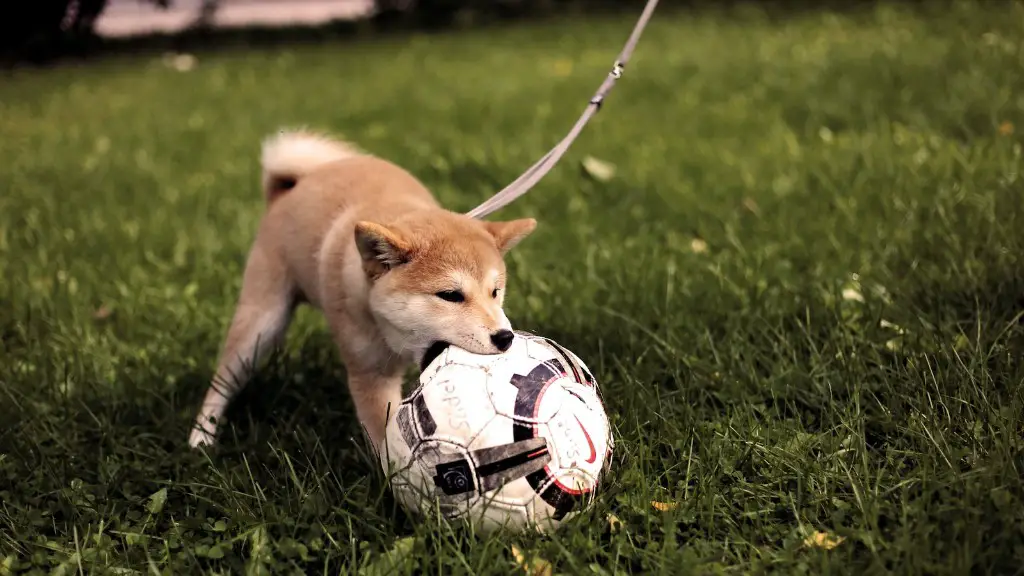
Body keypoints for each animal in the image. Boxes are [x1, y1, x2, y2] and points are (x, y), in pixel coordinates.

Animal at [187, 131, 536, 457]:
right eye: (450, 295)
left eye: (495, 292)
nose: (505, 337)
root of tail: (289, 188)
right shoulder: (370, 374)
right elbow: (385, 440)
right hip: (261, 321)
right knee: (223, 381)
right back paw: (201, 437)